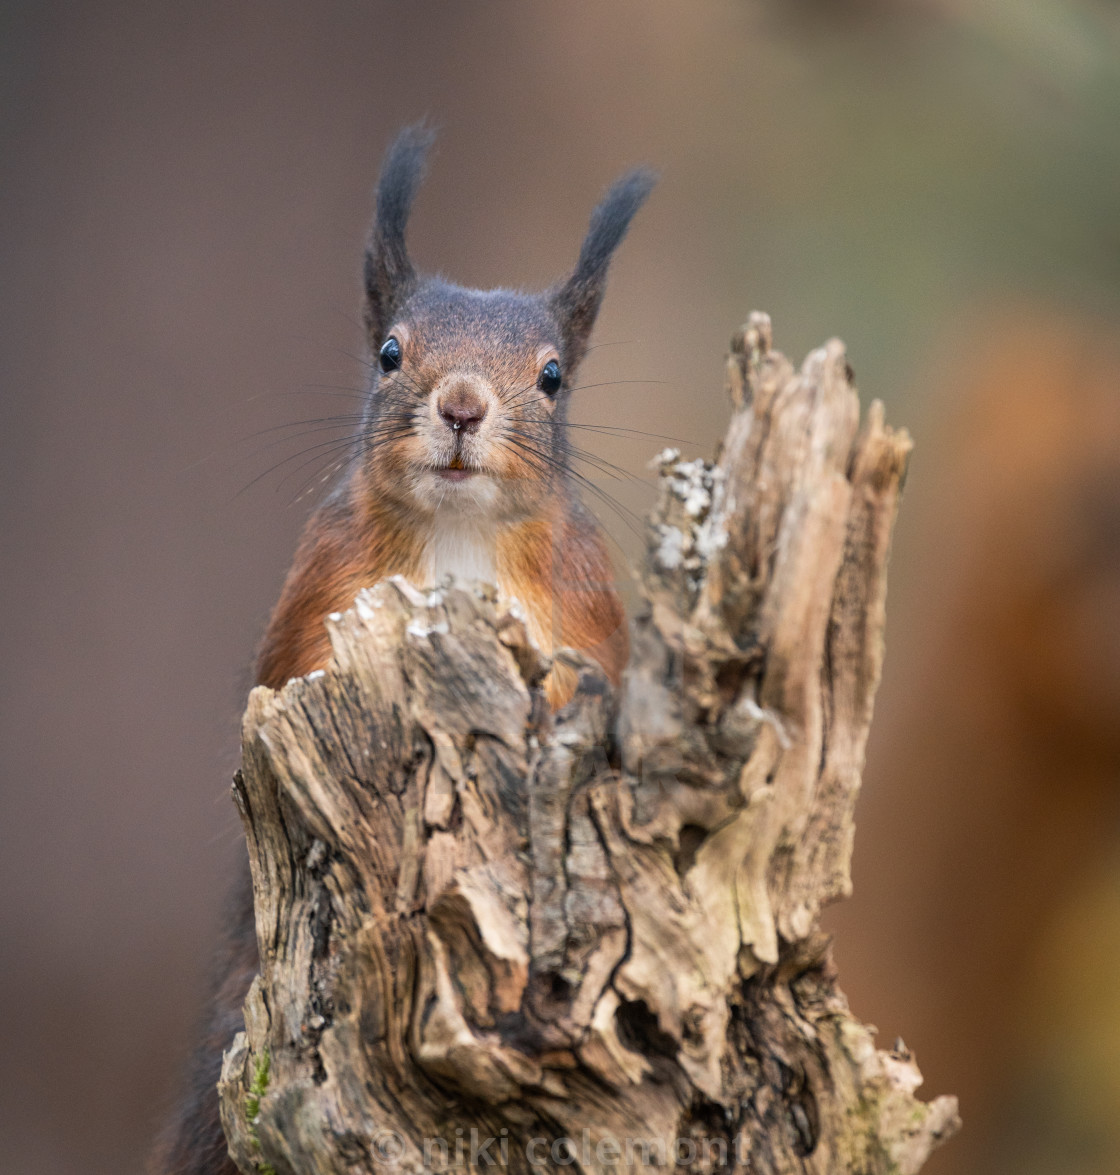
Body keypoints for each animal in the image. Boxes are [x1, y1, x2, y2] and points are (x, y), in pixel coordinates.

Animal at [149, 123, 653, 1170]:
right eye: (389, 353)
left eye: (553, 376)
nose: (461, 406)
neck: (458, 537)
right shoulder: (312, 607)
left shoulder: (587, 629)